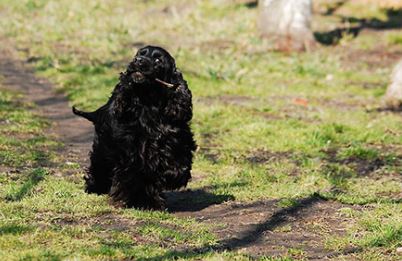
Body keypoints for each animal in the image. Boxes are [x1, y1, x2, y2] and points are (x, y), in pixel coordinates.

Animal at [74, 45, 198, 209]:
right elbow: (134, 176)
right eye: (139, 54)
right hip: (103, 148)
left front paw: (171, 179)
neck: (150, 103)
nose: (138, 61)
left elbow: (177, 163)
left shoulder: (176, 139)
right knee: (100, 166)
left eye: (158, 60)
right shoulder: (132, 150)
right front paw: (137, 201)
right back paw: (95, 187)